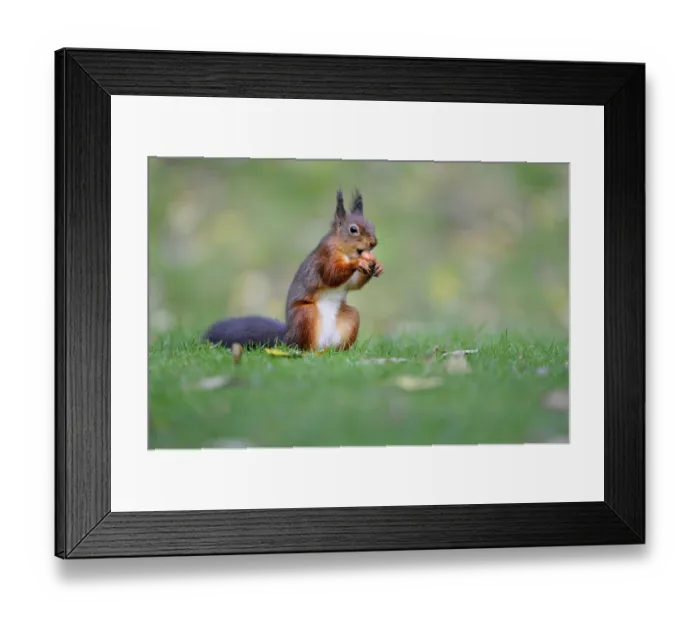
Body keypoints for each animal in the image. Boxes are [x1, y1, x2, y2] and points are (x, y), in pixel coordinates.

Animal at [204, 189, 383, 352]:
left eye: (372, 225)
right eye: (353, 229)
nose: (374, 242)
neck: (345, 251)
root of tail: (287, 338)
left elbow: (353, 284)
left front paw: (378, 266)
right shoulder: (325, 257)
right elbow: (331, 275)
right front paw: (358, 263)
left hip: (351, 317)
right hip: (305, 314)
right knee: (302, 345)